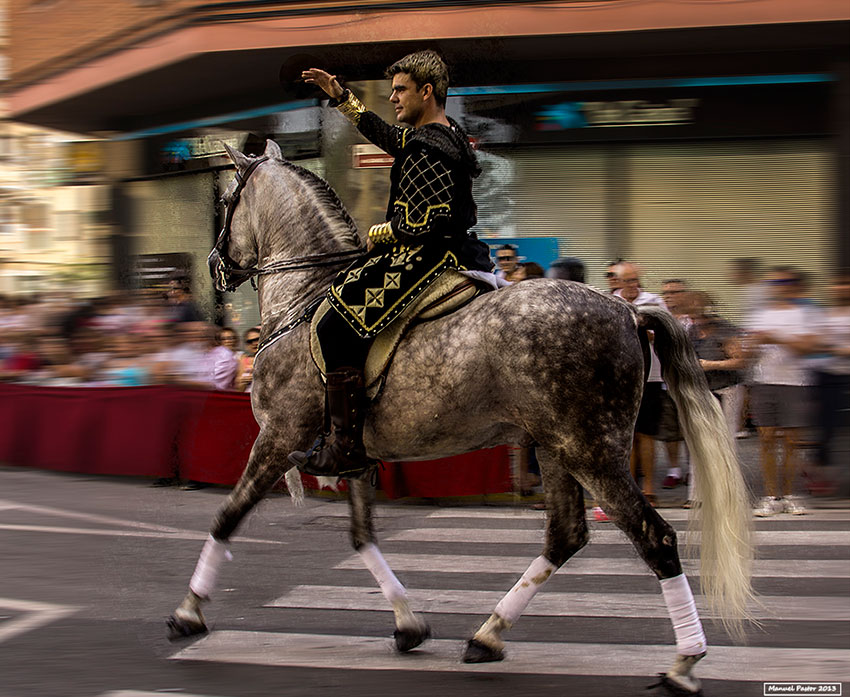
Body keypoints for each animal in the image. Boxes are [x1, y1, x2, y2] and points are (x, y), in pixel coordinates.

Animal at [167, 139, 753, 695]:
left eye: (225, 200)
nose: (215, 268)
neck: (304, 299)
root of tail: (628, 308)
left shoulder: (278, 436)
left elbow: (228, 516)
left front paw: (188, 611)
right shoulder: (350, 452)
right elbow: (361, 536)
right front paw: (409, 625)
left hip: (591, 449)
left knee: (654, 538)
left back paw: (684, 664)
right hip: (557, 447)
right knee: (565, 536)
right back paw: (486, 637)